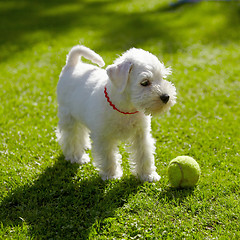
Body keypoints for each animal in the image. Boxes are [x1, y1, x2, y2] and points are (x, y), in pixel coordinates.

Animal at [56, 45, 176, 182]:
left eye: (162, 77)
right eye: (144, 82)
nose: (166, 97)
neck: (127, 108)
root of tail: (72, 64)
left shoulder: (141, 134)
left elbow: (144, 154)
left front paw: (148, 175)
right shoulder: (104, 137)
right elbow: (108, 156)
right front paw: (111, 175)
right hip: (68, 116)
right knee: (71, 136)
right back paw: (76, 156)